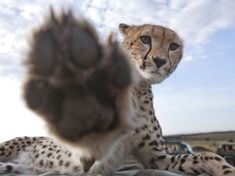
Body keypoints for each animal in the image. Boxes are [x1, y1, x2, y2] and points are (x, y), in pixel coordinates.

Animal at [0, 9, 235, 176]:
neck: (136, 89)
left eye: (174, 46)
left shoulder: (158, 160)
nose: (160, 61)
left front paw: (227, 169)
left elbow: (207, 155)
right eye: (145, 39)